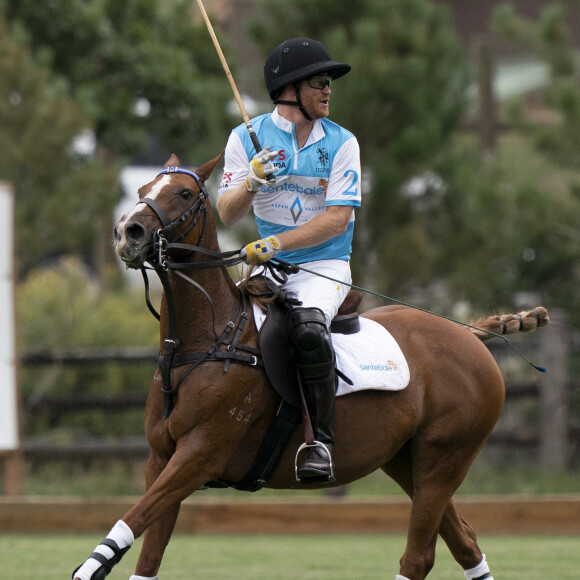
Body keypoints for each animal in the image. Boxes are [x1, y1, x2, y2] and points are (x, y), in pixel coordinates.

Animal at [73, 152, 548, 576]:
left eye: (185, 193)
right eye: (141, 191)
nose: (128, 232)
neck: (206, 341)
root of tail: (469, 334)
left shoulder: (199, 454)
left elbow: (133, 520)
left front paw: (87, 567)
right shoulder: (162, 459)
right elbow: (148, 552)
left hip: (445, 455)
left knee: (419, 556)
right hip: (406, 459)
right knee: (465, 544)